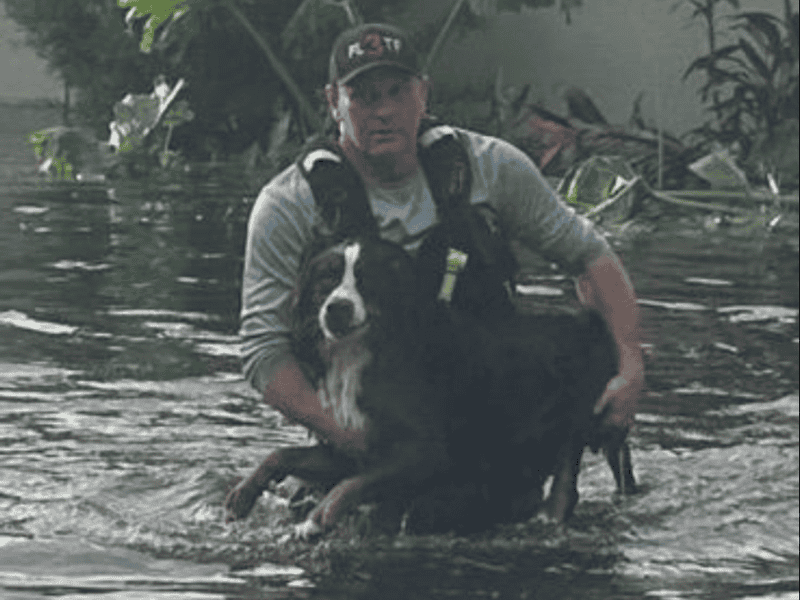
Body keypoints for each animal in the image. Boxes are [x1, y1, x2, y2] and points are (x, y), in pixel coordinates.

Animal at [227, 233, 636, 536]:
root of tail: (593, 320)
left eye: (366, 280)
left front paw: (319, 516)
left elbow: (356, 483)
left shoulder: (427, 451)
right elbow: (282, 454)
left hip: (575, 424)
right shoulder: (350, 441)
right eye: (325, 281)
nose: (336, 308)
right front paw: (244, 493)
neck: (364, 351)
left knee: (564, 487)